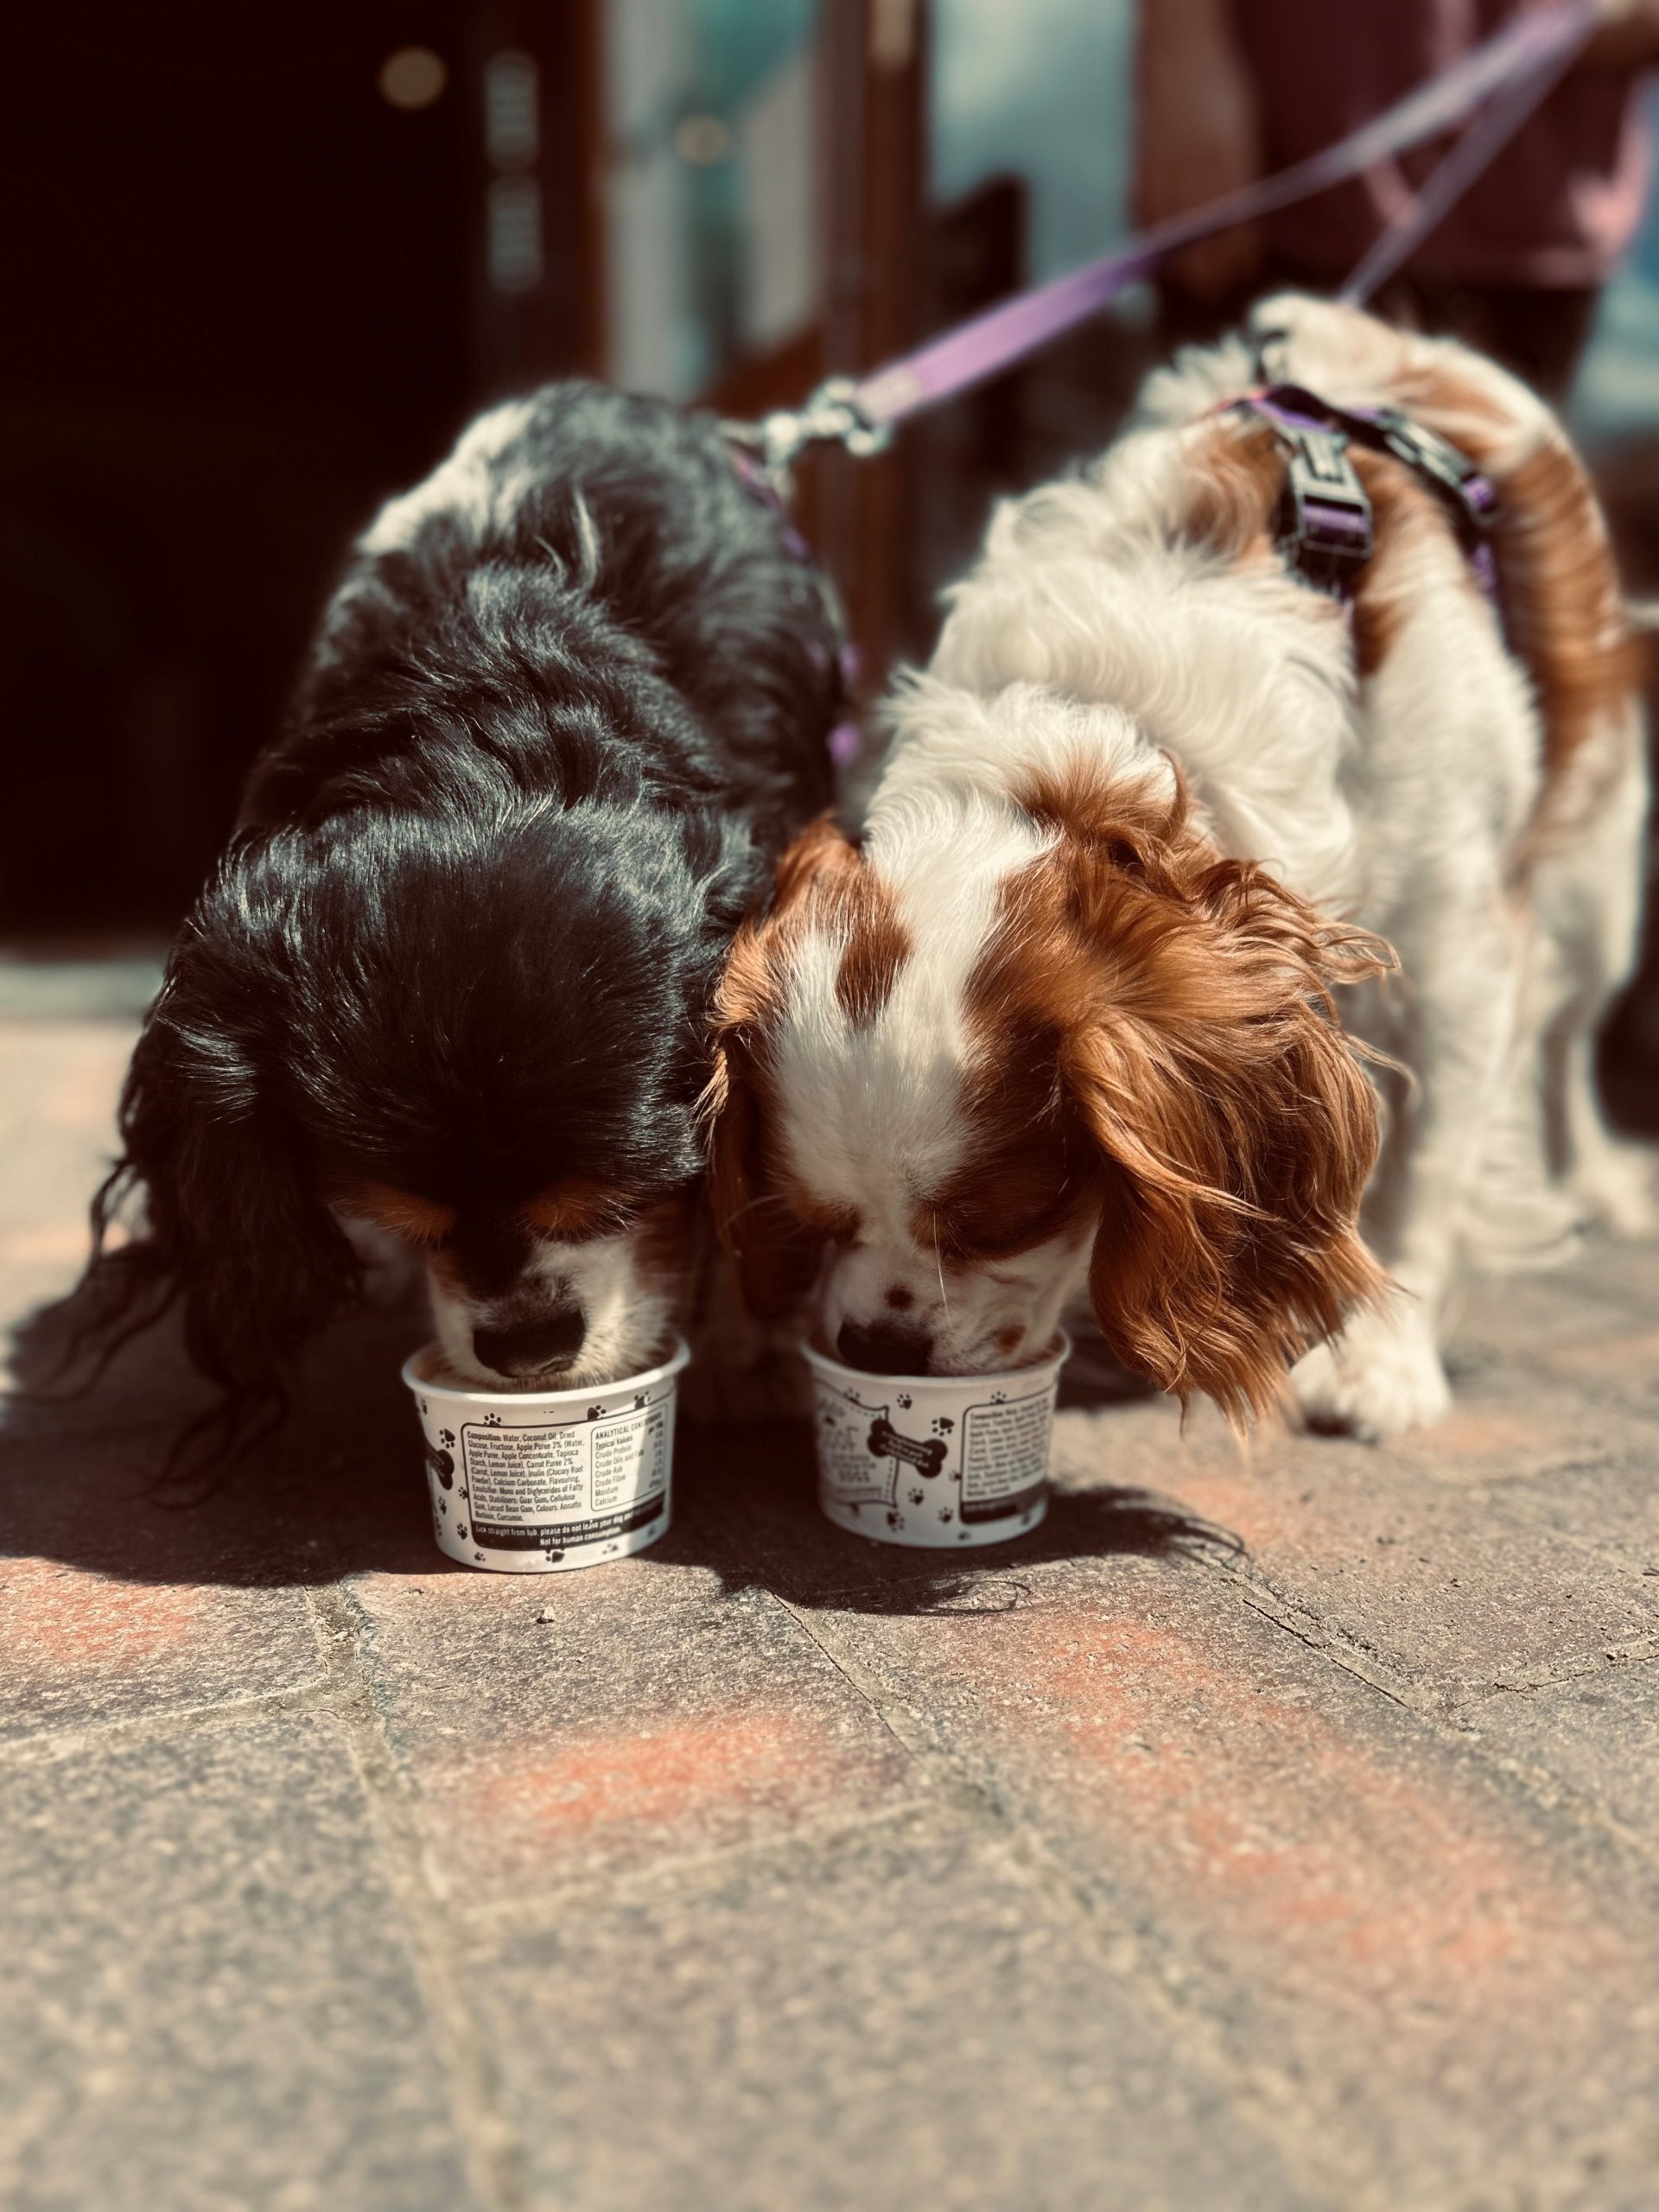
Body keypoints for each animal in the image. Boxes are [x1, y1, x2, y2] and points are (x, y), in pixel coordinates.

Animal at [708, 298, 1654, 1433]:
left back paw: (1600, 1182)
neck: (1104, 741)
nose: (877, 1346)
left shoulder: (1460, 950)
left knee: (1567, 1041)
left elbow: (1425, 1163)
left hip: (1597, 878)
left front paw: (1383, 1361)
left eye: (998, 1222)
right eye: (817, 1219)